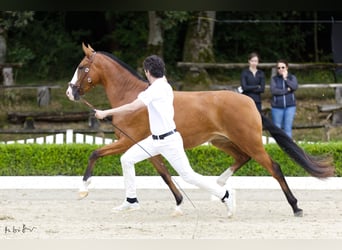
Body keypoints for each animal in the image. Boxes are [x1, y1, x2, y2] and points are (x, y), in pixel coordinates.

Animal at [66, 43, 334, 217]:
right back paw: (221, 185)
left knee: (274, 167)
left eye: (81, 67)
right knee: (242, 158)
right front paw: (177, 202)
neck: (133, 96)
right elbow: (164, 173)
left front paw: (83, 189)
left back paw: (295, 206)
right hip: (222, 141)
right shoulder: (146, 146)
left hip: (250, 141)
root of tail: (249, 101)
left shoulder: (127, 142)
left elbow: (94, 154)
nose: (70, 92)